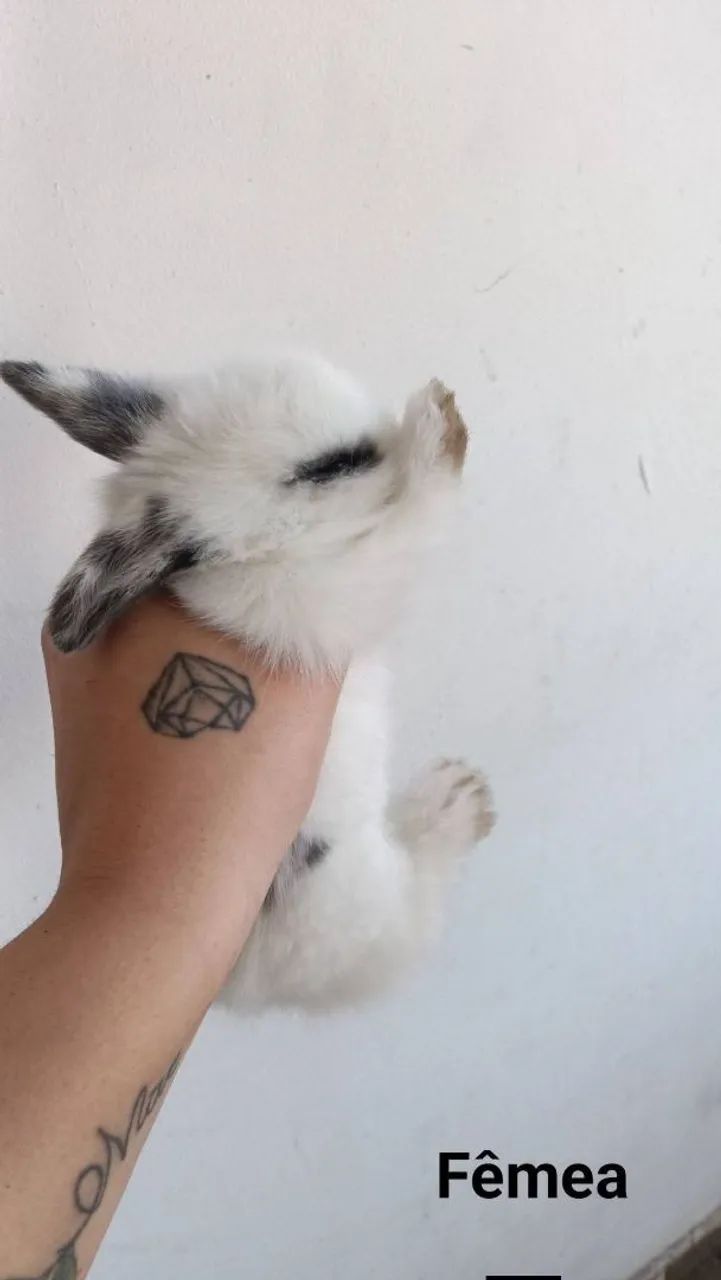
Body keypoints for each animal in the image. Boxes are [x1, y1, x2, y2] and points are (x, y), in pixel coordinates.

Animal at [1, 353, 495, 1009]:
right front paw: (440, 424)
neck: (272, 551)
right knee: (413, 910)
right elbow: (414, 518)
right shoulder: (347, 585)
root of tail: (255, 987)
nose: (387, 425)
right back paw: (459, 798)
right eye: (327, 467)